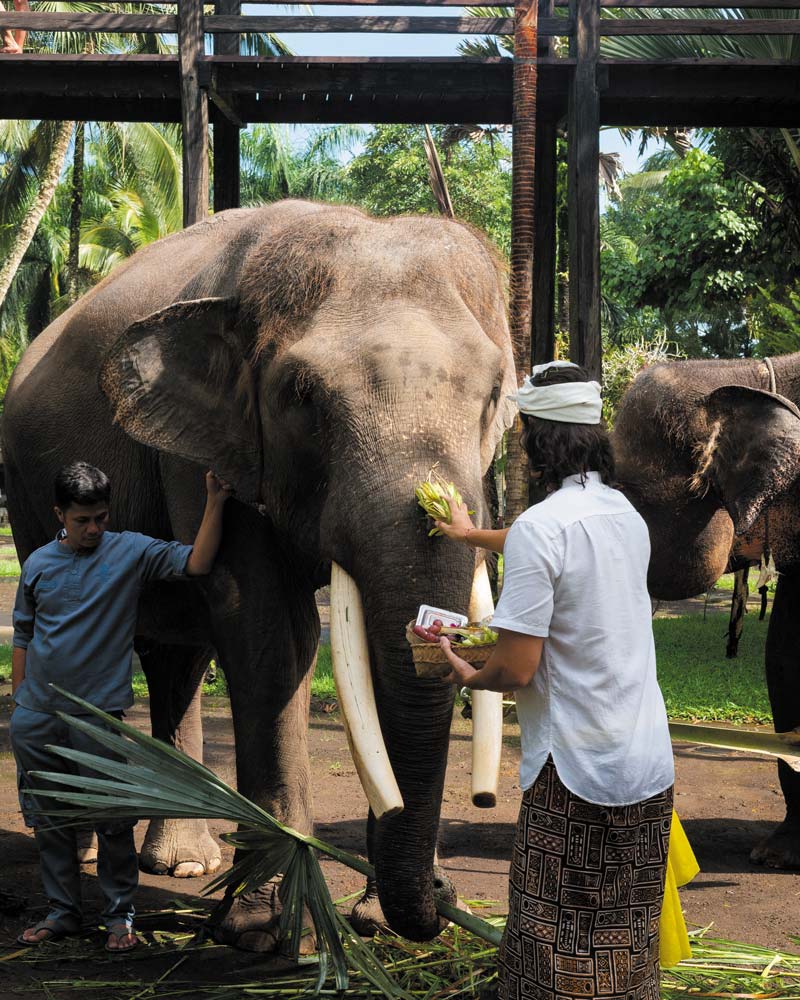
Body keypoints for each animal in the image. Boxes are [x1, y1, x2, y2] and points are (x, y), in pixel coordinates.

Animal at [1, 199, 520, 948]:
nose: (436, 912)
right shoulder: (206, 453)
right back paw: (96, 845)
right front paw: (258, 926)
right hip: (25, 493)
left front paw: (376, 924)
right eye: (301, 396)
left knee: (176, 658)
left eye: (494, 393)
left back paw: (182, 863)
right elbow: (269, 631)